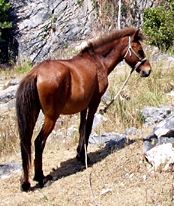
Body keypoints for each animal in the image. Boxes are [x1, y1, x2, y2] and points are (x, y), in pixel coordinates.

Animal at [16, 27, 152, 192]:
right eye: (140, 50)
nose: (147, 70)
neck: (97, 62)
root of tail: (35, 73)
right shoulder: (94, 102)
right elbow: (88, 128)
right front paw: (85, 157)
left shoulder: (83, 107)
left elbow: (81, 128)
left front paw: (79, 155)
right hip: (51, 117)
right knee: (39, 142)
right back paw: (41, 178)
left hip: (33, 115)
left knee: (25, 144)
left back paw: (26, 182)